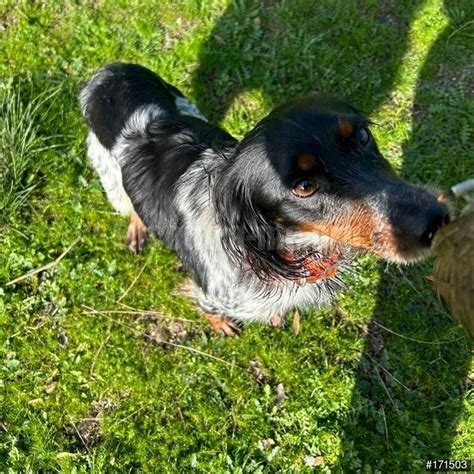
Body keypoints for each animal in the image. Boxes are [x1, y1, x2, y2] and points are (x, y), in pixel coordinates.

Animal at [78, 63, 448, 336]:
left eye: (362, 136)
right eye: (303, 187)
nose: (436, 219)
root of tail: (111, 72)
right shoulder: (211, 292)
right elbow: (206, 307)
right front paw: (221, 324)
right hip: (110, 178)